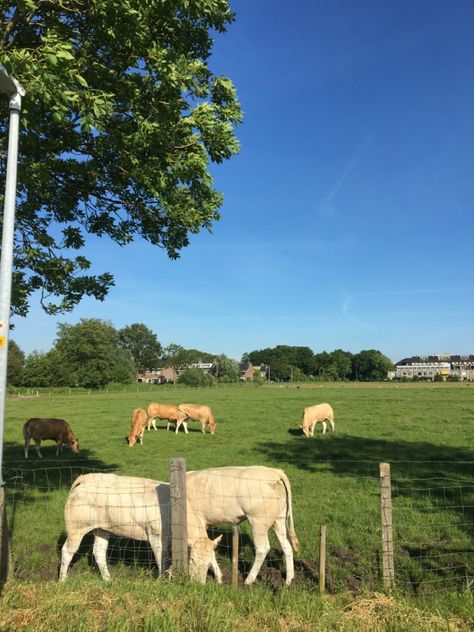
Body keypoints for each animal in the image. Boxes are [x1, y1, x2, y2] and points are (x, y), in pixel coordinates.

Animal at [59, 474, 222, 584]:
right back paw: (62, 580)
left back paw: (108, 580)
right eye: (192, 560)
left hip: (101, 528)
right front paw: (162, 580)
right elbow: (162, 558)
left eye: (208, 564)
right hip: (76, 527)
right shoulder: (156, 535)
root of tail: (86, 478)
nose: (198, 584)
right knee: (67, 551)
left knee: (99, 552)